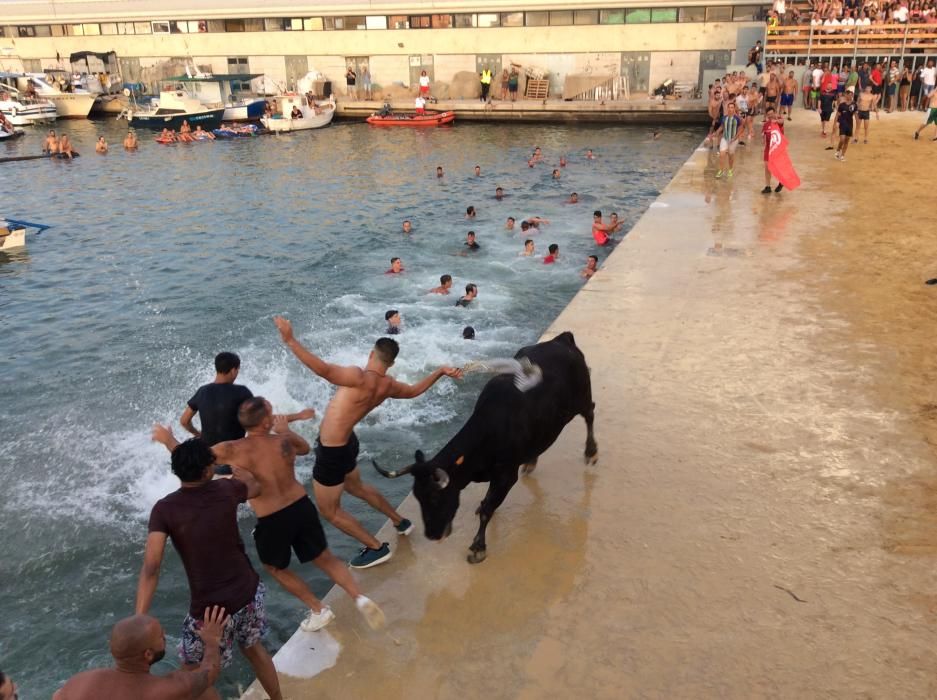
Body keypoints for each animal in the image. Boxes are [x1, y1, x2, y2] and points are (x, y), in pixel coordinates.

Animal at [372, 332, 596, 564]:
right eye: (417, 496)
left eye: (435, 497)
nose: (432, 535)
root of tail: (562, 339)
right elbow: (487, 502)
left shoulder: (506, 476)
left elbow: (488, 509)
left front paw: (478, 546)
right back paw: (531, 461)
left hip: (582, 398)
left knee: (590, 413)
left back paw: (591, 451)